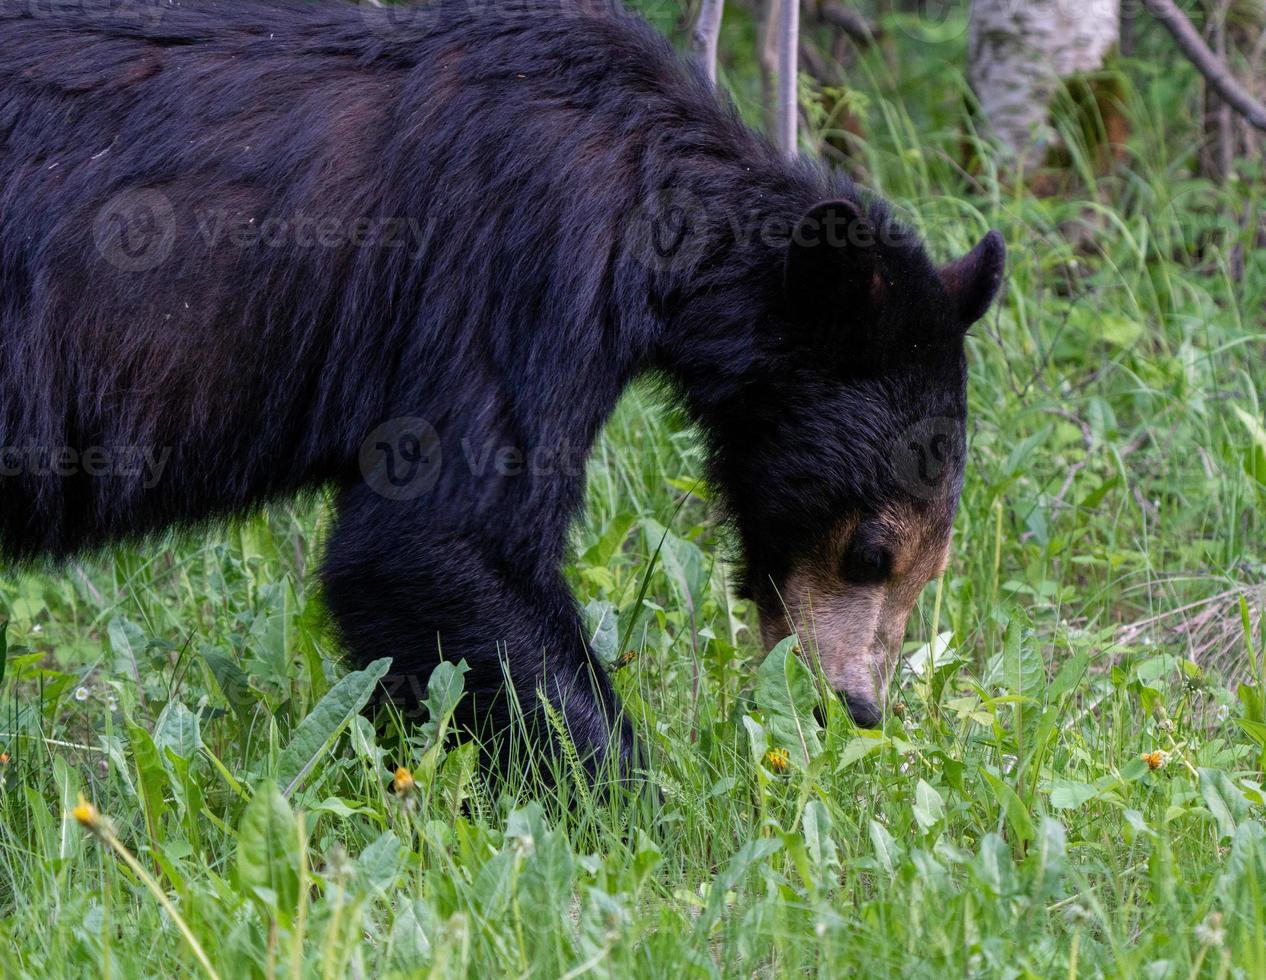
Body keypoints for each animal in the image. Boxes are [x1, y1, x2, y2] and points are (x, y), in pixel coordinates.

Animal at [2, 0, 1007, 774]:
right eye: (871, 550)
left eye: (937, 563)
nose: (855, 706)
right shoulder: (524, 257)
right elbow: (440, 536)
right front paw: (636, 806)